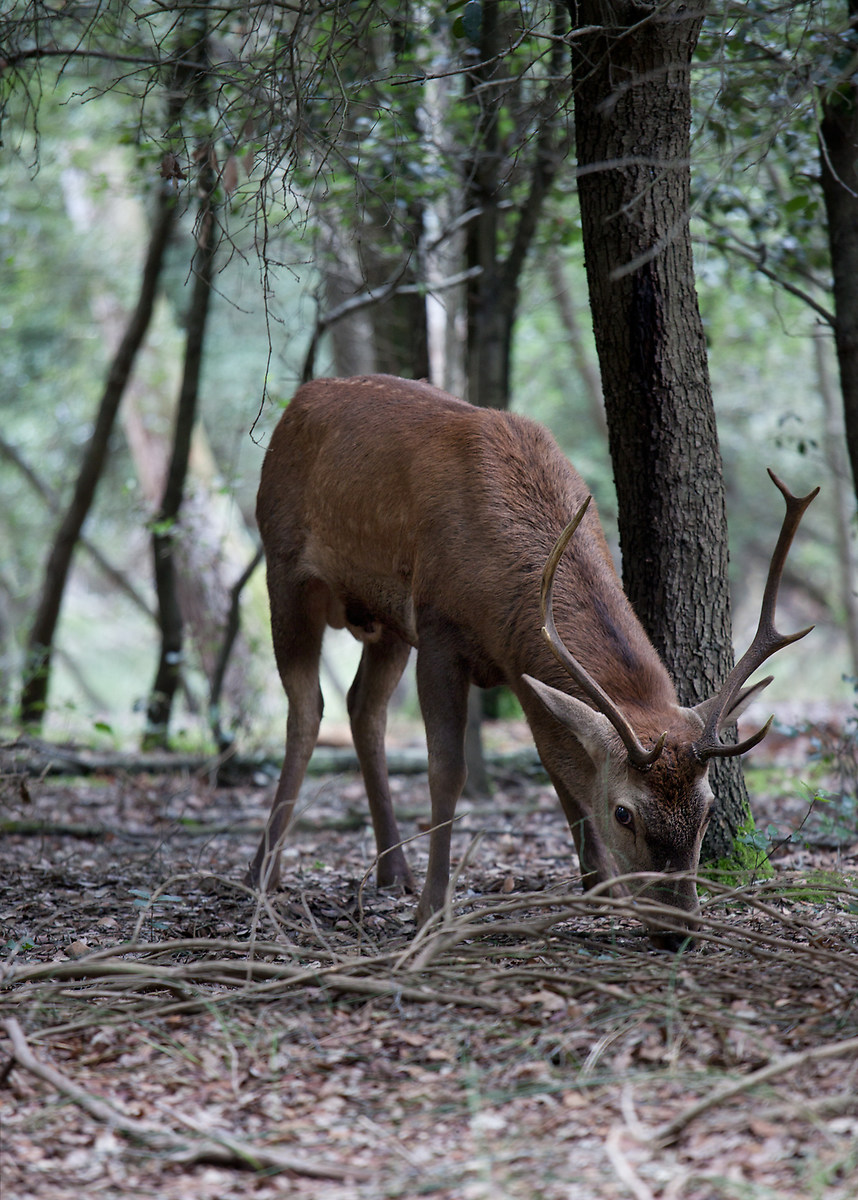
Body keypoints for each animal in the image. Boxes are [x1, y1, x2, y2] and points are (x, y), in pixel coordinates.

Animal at [248, 374, 818, 950]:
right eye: (624, 813)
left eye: (707, 810)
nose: (678, 929)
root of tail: (297, 400)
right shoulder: (436, 626)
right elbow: (447, 769)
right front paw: (434, 908)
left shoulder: (519, 668)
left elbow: (556, 761)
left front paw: (600, 883)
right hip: (284, 563)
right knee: (307, 706)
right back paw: (263, 870)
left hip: (384, 620)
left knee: (364, 708)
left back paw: (394, 872)